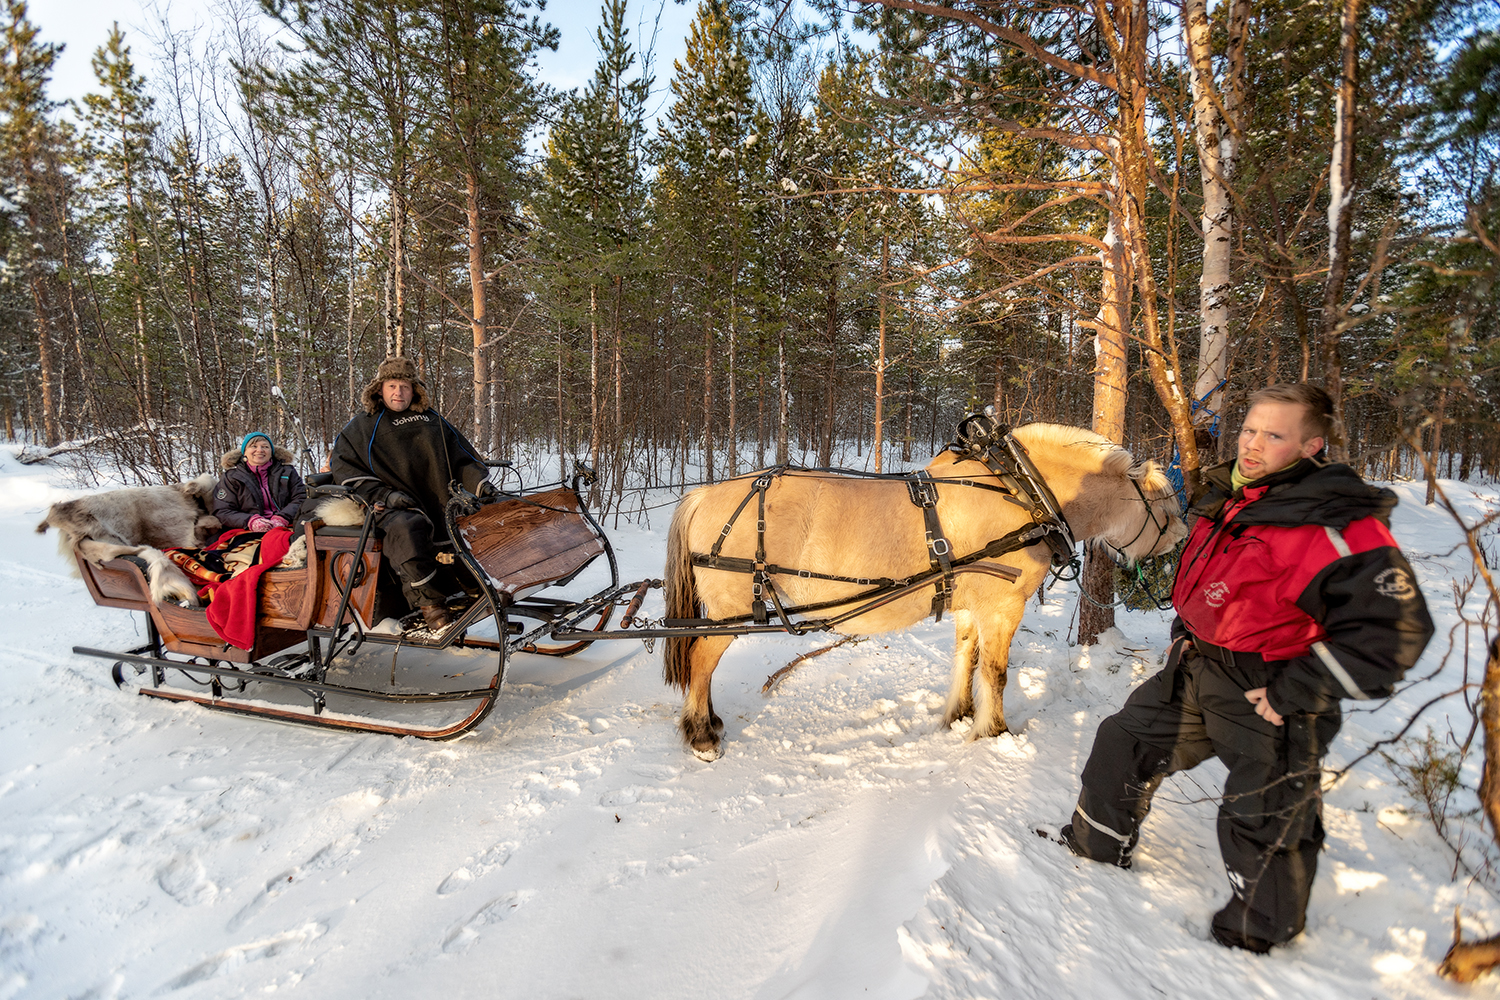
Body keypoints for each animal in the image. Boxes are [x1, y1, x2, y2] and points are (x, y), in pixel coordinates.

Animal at [663, 422, 1188, 758]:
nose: (1183, 539)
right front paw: (994, 733)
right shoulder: (1004, 605)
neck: (1024, 492)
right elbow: (996, 672)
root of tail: (702, 494)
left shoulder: (971, 604)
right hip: (733, 609)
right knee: (701, 658)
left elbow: (966, 658)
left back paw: (709, 723)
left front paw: (959, 716)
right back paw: (702, 737)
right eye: (1165, 506)